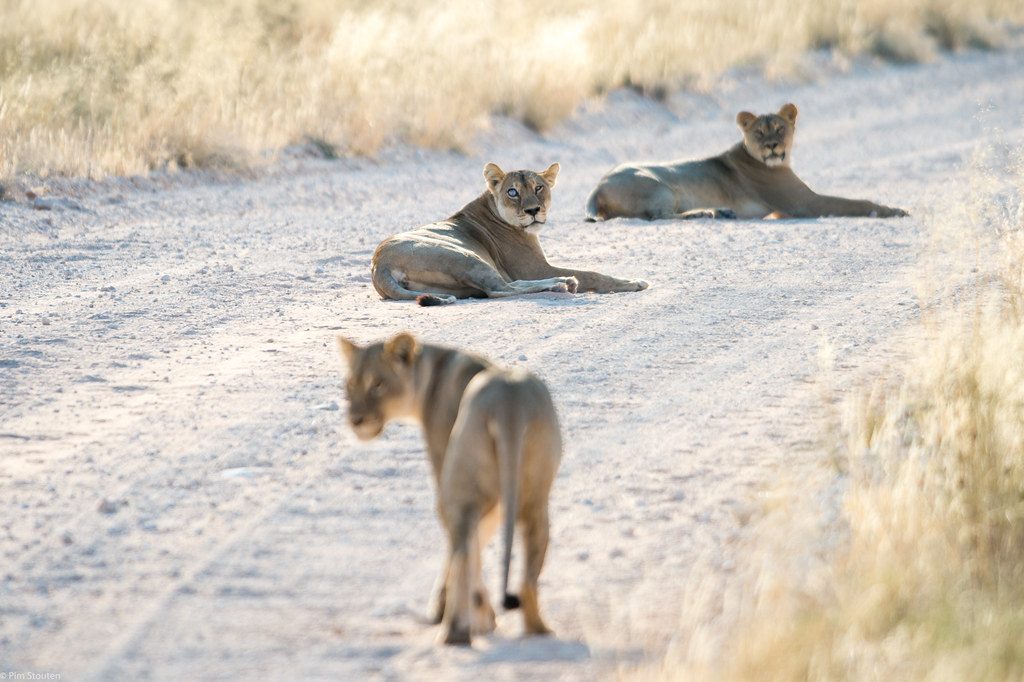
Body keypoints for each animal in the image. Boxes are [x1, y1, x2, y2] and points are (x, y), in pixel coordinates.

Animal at [337, 332, 562, 646]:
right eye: (350, 385)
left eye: (378, 384)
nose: (355, 420)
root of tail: (509, 405)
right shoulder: (498, 499)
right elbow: (482, 536)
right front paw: (482, 614)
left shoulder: (444, 464)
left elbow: (464, 548)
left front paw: (466, 612)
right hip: (535, 492)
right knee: (528, 560)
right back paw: (537, 630)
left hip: (460, 485)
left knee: (463, 547)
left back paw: (455, 632)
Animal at [372, 162, 648, 306]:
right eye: (512, 192)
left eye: (538, 188)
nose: (533, 210)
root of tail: (379, 265)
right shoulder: (535, 268)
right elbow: (592, 274)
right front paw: (633, 282)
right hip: (463, 256)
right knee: (500, 289)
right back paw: (563, 283)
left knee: (504, 286)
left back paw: (563, 283)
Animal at [585, 103, 908, 221]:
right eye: (759, 132)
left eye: (779, 128)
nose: (772, 146)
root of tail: (596, 188)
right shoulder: (804, 203)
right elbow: (854, 202)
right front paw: (894, 210)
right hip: (660, 186)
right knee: (659, 216)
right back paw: (710, 212)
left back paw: (721, 212)